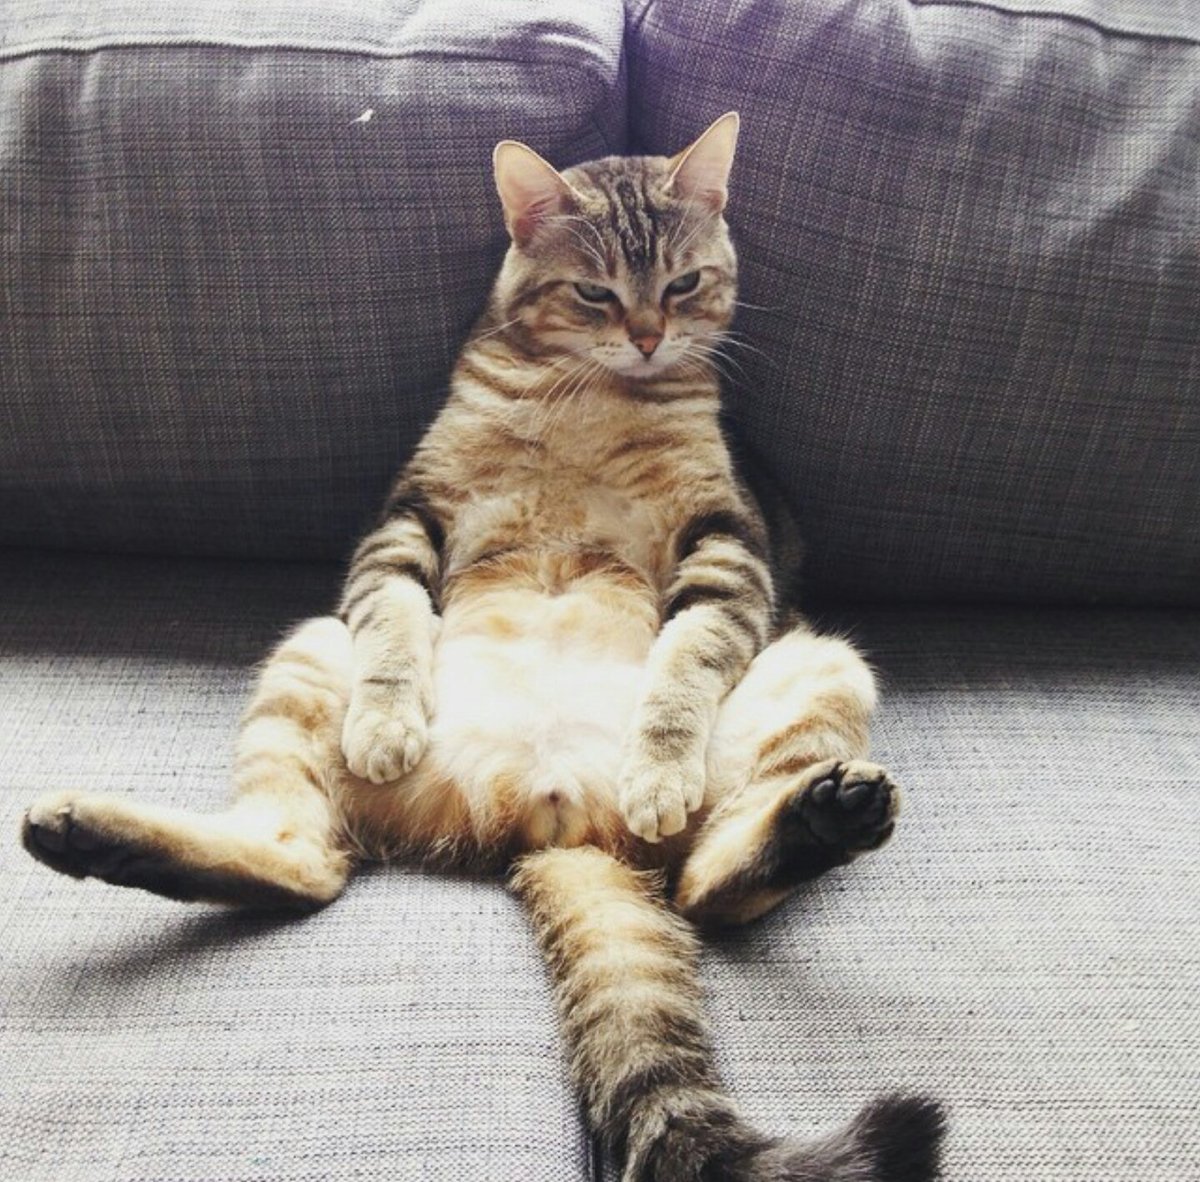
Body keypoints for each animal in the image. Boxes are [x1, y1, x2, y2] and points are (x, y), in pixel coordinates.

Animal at [21, 113, 944, 1182]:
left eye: (681, 284)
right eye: (596, 292)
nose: (647, 337)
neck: (590, 397)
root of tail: (556, 818)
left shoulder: (728, 546)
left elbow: (685, 666)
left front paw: (659, 766)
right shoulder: (407, 525)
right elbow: (392, 626)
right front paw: (387, 720)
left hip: (819, 663)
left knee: (707, 886)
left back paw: (824, 815)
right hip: (312, 655)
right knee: (302, 862)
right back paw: (85, 831)